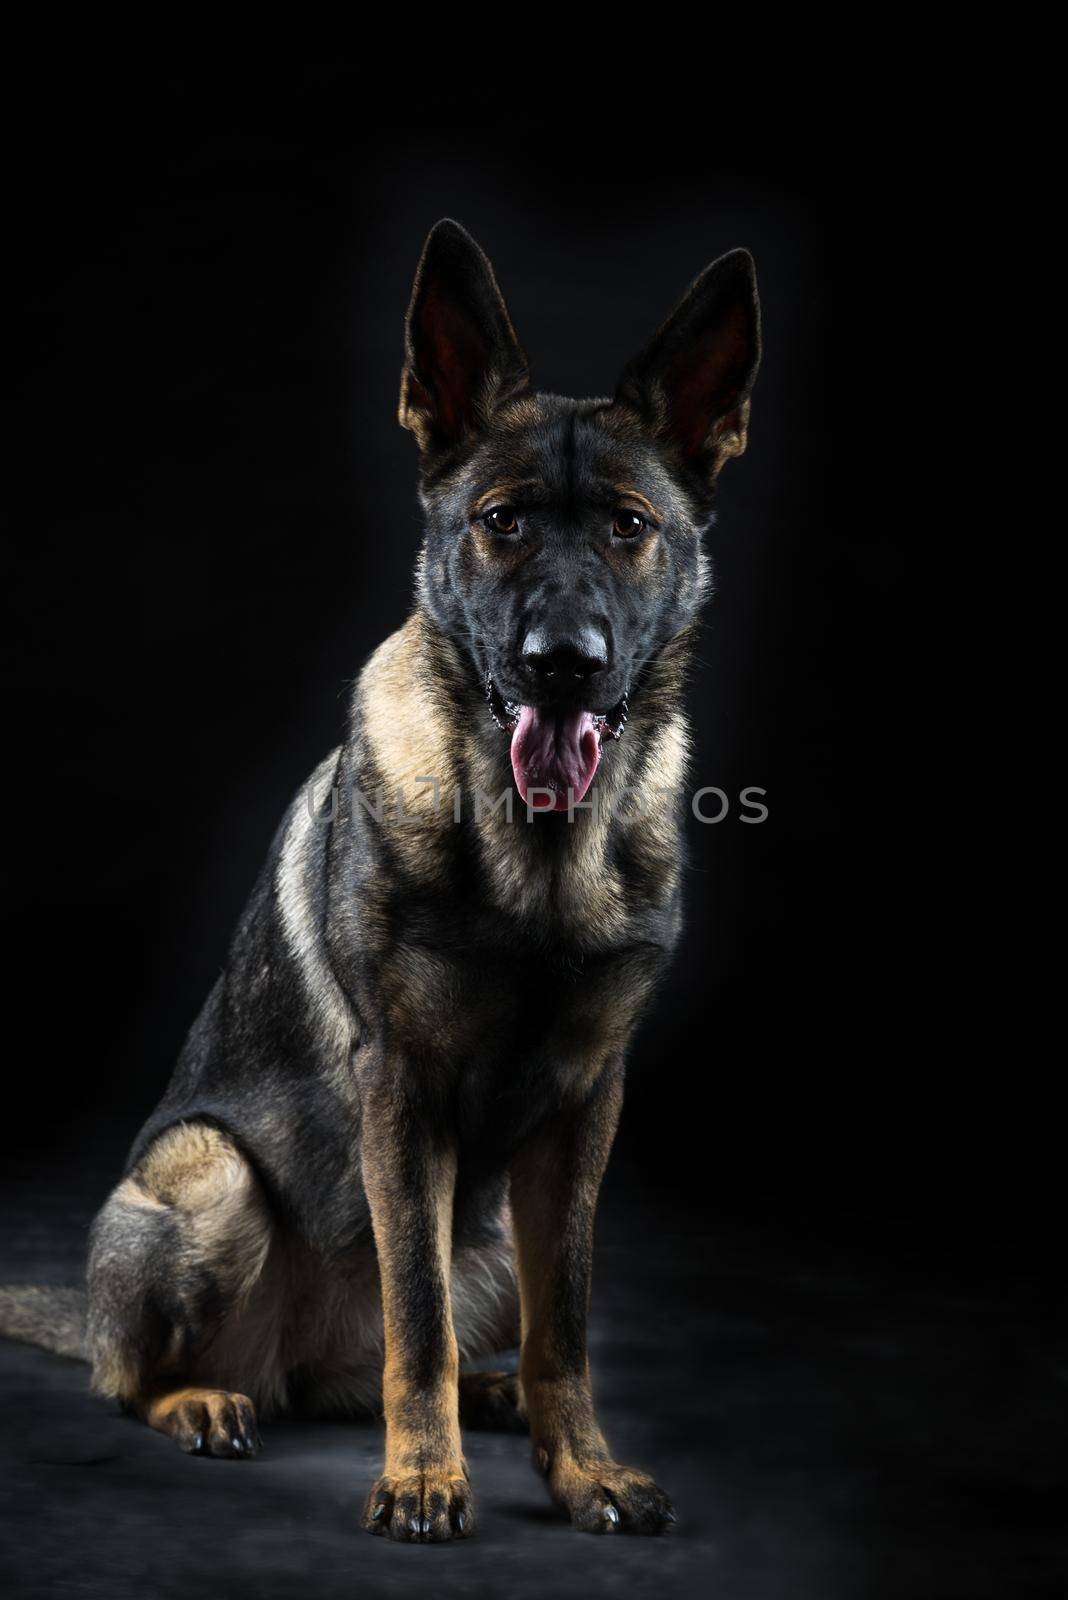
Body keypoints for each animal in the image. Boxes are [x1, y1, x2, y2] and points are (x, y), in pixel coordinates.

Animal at [0, 222, 754, 1536]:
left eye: (628, 527)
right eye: (501, 522)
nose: (563, 665)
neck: (535, 855)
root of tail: (294, 1360)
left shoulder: (587, 1106)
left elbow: (568, 1324)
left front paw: (584, 1464)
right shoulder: (401, 1094)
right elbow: (419, 1322)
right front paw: (422, 1478)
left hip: (491, 1234)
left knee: (450, 1340)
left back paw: (497, 1403)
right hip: (210, 1179)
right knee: (135, 1376)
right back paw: (205, 1402)